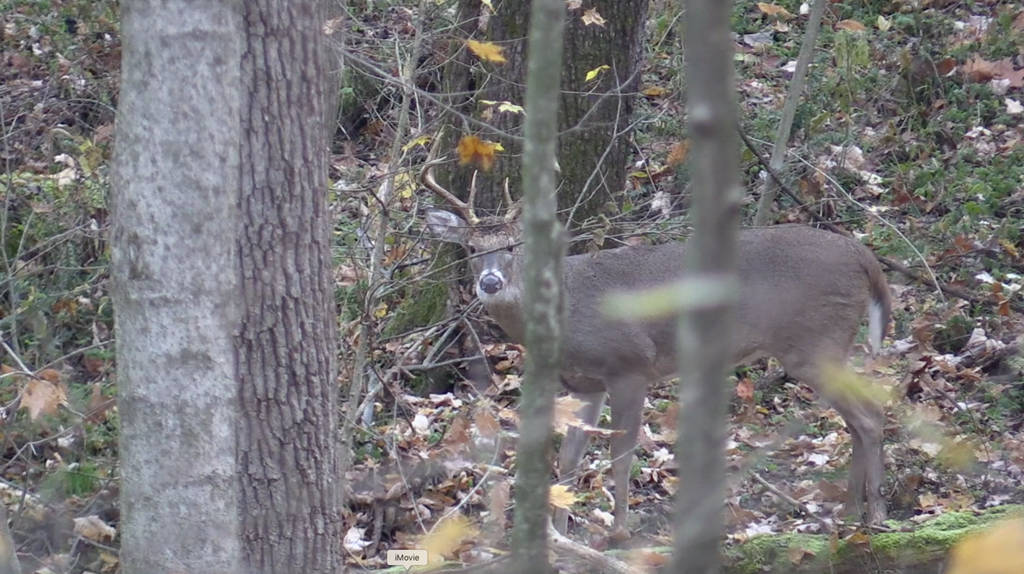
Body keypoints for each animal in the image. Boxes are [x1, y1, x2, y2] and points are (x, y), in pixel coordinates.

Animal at [419, 162, 892, 536]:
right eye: (470, 248)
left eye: (514, 246)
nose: (490, 282)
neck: (565, 311)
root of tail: (864, 257)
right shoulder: (584, 383)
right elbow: (570, 459)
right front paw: (561, 535)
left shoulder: (630, 366)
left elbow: (620, 455)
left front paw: (619, 533)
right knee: (857, 419)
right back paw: (851, 512)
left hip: (816, 343)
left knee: (869, 416)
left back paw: (876, 515)